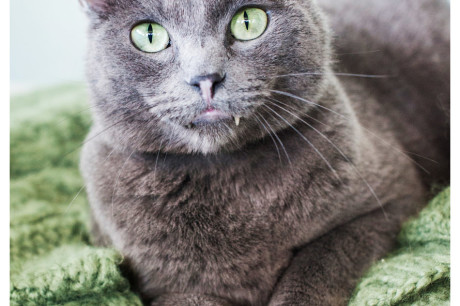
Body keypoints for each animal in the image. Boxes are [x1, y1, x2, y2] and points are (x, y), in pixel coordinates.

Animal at [79, 0, 450, 304]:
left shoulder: (390, 199)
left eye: (248, 21)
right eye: (149, 35)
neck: (225, 175)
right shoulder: (159, 284)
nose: (206, 77)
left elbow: (320, 260)